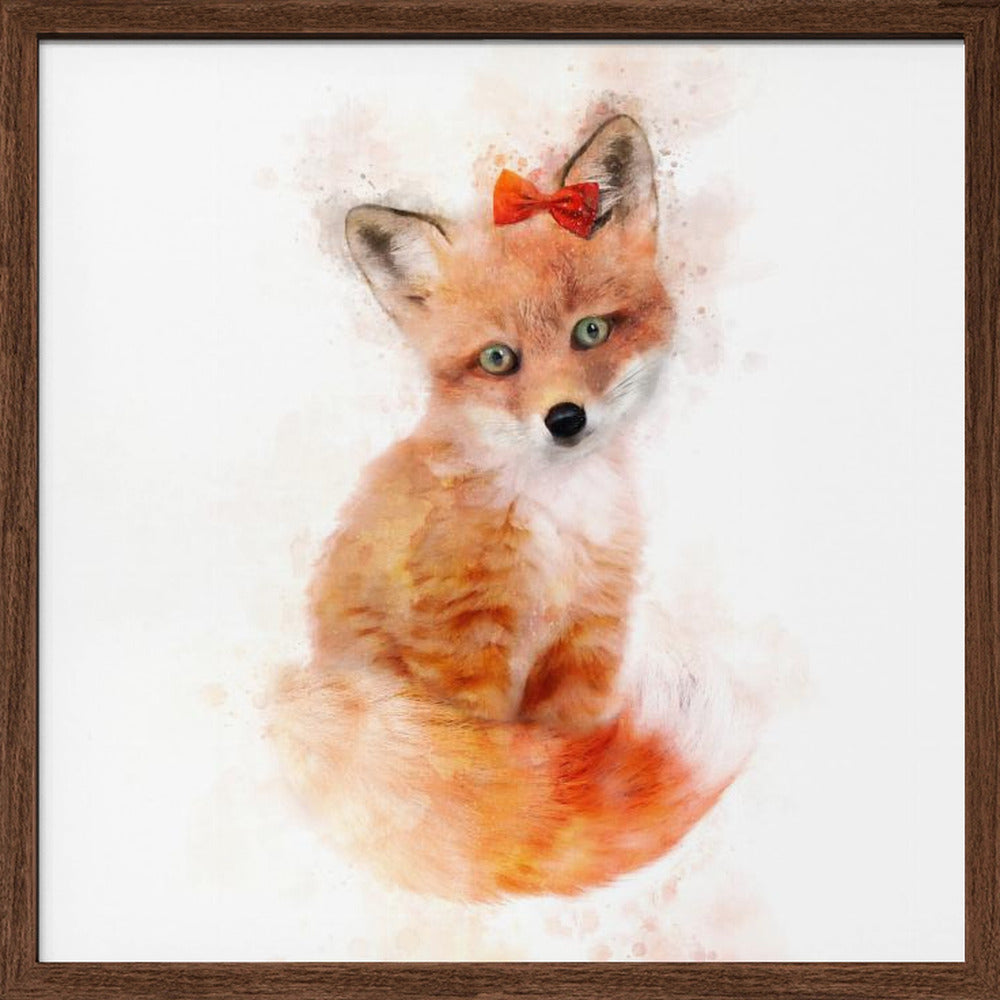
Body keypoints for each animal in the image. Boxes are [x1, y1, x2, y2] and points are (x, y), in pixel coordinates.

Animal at [269, 115, 743, 900]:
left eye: (591, 331)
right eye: (498, 359)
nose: (566, 419)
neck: (555, 521)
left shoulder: (584, 644)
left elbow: (568, 775)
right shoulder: (459, 653)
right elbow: (503, 794)